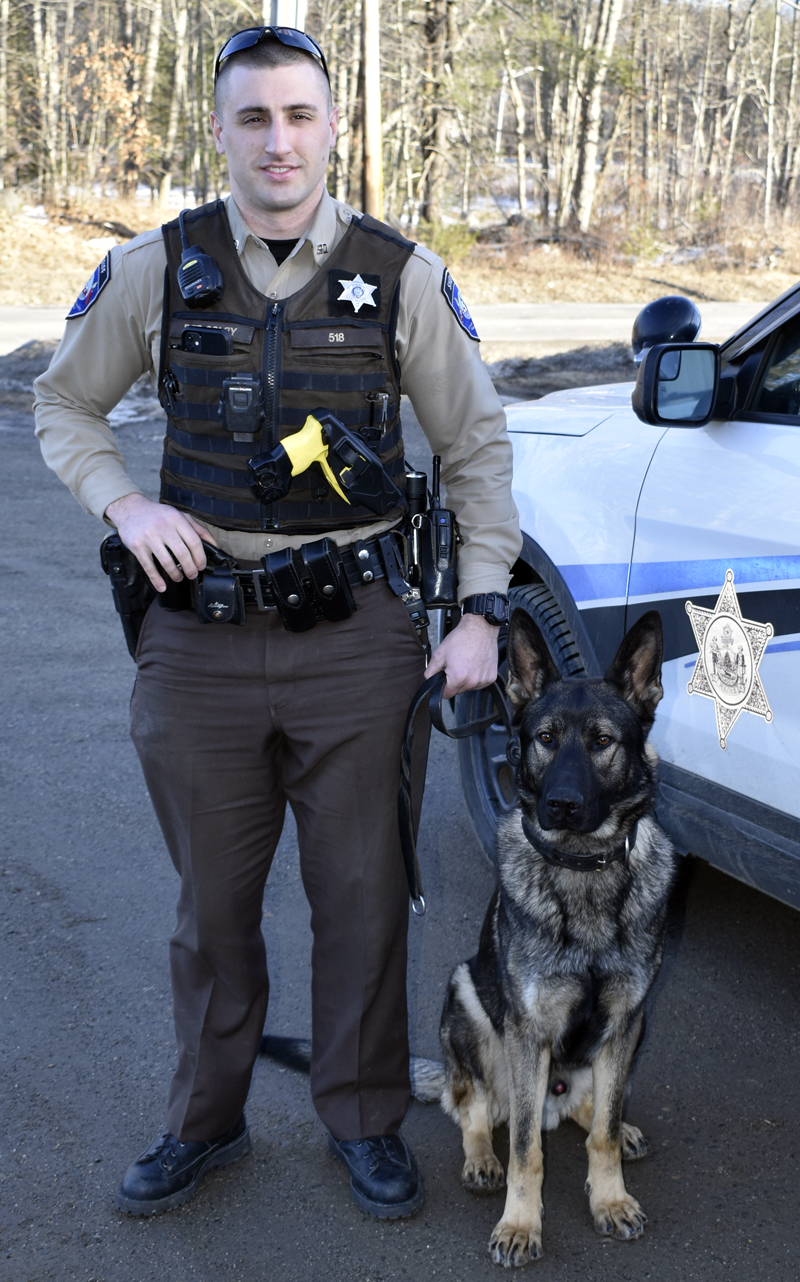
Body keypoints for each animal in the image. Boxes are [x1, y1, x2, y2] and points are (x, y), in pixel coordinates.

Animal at [438, 607, 676, 1261]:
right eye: (545, 738)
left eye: (602, 741)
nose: (562, 805)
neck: (583, 869)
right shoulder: (528, 1032)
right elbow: (526, 1150)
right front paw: (520, 1223)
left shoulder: (626, 1021)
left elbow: (602, 1135)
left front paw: (610, 1199)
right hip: (467, 999)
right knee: (474, 1106)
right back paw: (481, 1158)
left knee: (592, 1111)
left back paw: (611, 1123)